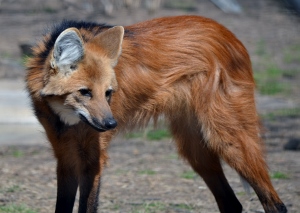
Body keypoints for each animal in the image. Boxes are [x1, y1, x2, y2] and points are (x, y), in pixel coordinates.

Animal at [25, 15, 286, 212]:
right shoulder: (65, 155)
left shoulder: (93, 158)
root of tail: (229, 33)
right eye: (85, 92)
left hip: (225, 138)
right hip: (196, 147)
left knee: (275, 204)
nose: (111, 124)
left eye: (108, 93)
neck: (67, 117)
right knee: (231, 203)